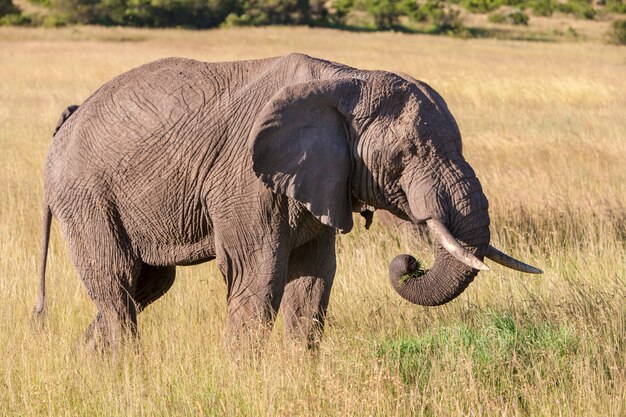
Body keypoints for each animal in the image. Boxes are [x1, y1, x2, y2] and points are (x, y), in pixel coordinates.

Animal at [34, 53, 540, 350]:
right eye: (406, 154)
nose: (408, 261)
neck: (348, 80)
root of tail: (68, 118)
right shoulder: (244, 177)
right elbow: (257, 274)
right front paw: (241, 381)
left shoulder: (324, 180)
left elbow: (314, 280)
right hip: (84, 194)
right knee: (117, 282)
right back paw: (125, 371)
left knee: (146, 285)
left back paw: (89, 365)